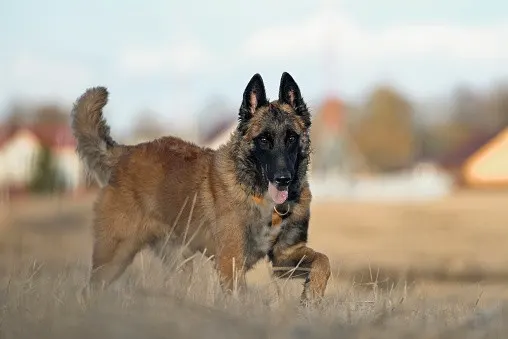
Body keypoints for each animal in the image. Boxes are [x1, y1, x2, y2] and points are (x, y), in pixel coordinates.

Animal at [72, 72, 334, 306]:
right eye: (263, 140)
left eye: (291, 138)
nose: (283, 179)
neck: (259, 196)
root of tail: (124, 153)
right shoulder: (230, 262)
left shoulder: (284, 256)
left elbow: (324, 262)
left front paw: (311, 297)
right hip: (114, 256)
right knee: (89, 289)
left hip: (178, 262)